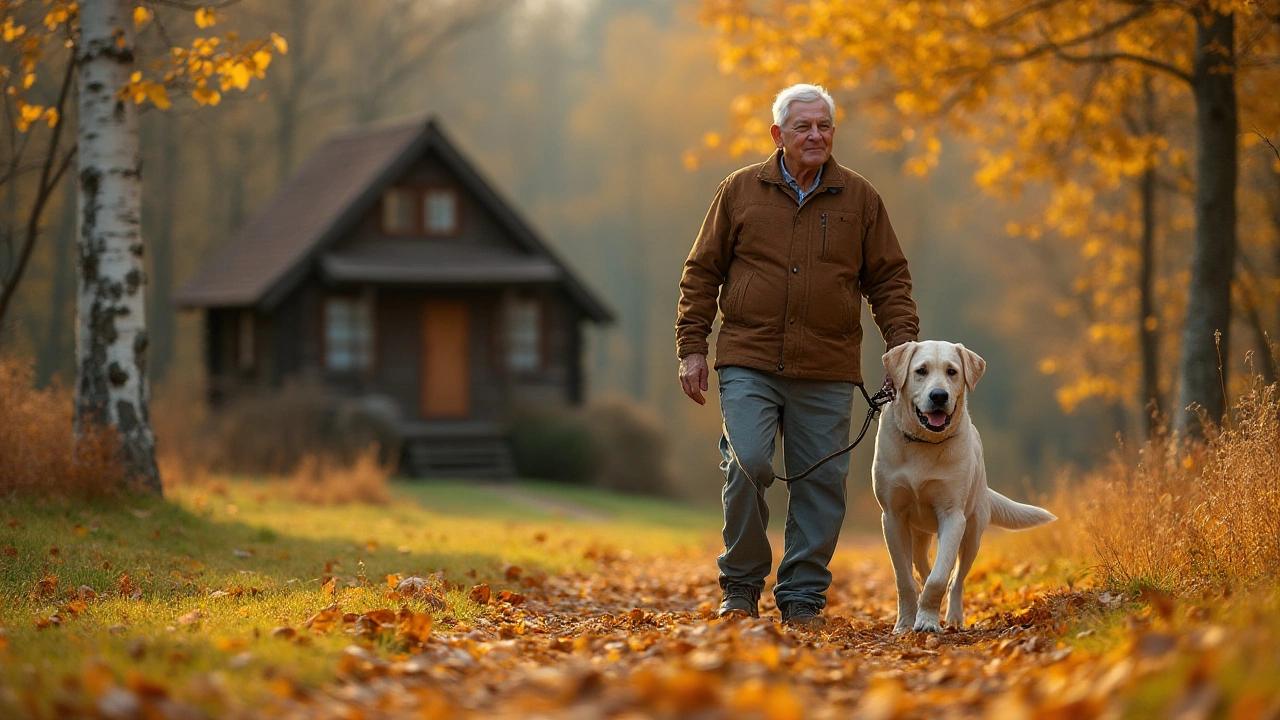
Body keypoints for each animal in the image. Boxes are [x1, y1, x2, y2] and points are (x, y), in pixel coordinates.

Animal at [875, 338, 1054, 630]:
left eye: (952, 372)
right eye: (921, 371)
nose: (939, 396)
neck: (924, 443)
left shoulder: (953, 516)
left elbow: (940, 578)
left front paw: (927, 622)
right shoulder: (892, 516)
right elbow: (904, 579)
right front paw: (904, 623)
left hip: (972, 533)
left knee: (954, 579)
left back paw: (954, 618)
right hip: (919, 534)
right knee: (922, 567)